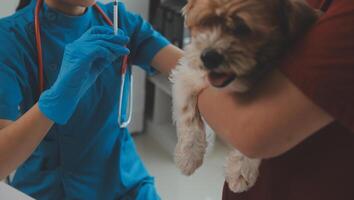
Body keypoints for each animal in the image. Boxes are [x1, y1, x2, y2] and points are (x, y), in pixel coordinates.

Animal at [170, 0, 320, 194]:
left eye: (242, 28)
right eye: (204, 23)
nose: (209, 56)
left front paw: (241, 171)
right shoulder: (188, 74)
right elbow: (188, 115)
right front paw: (189, 156)